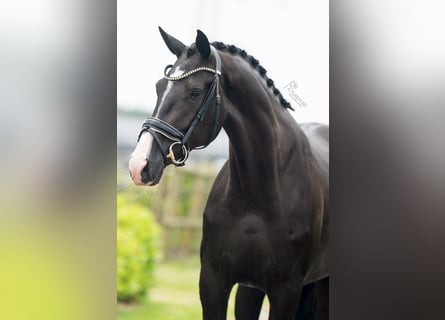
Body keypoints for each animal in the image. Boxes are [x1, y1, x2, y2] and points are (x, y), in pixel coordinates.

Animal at [128, 28, 326, 320]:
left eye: (195, 92)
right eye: (158, 87)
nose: (138, 165)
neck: (258, 195)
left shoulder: (286, 292)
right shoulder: (213, 282)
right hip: (252, 289)